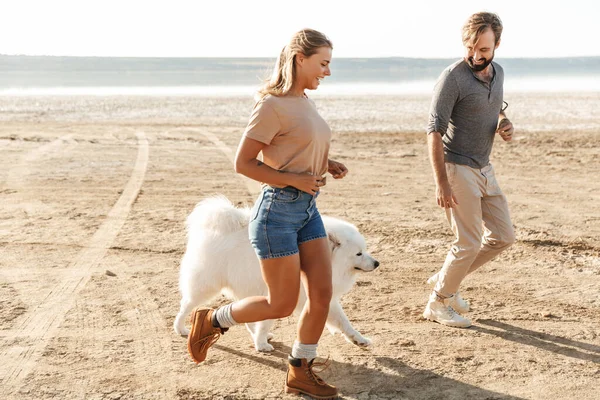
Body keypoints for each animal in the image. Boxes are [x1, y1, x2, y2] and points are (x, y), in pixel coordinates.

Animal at [173, 195, 380, 352]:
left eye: (364, 250)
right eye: (359, 253)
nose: (377, 263)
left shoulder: (319, 296)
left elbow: (344, 322)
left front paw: (359, 339)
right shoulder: (280, 297)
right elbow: (266, 322)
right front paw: (261, 345)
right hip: (206, 286)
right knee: (185, 305)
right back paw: (181, 328)